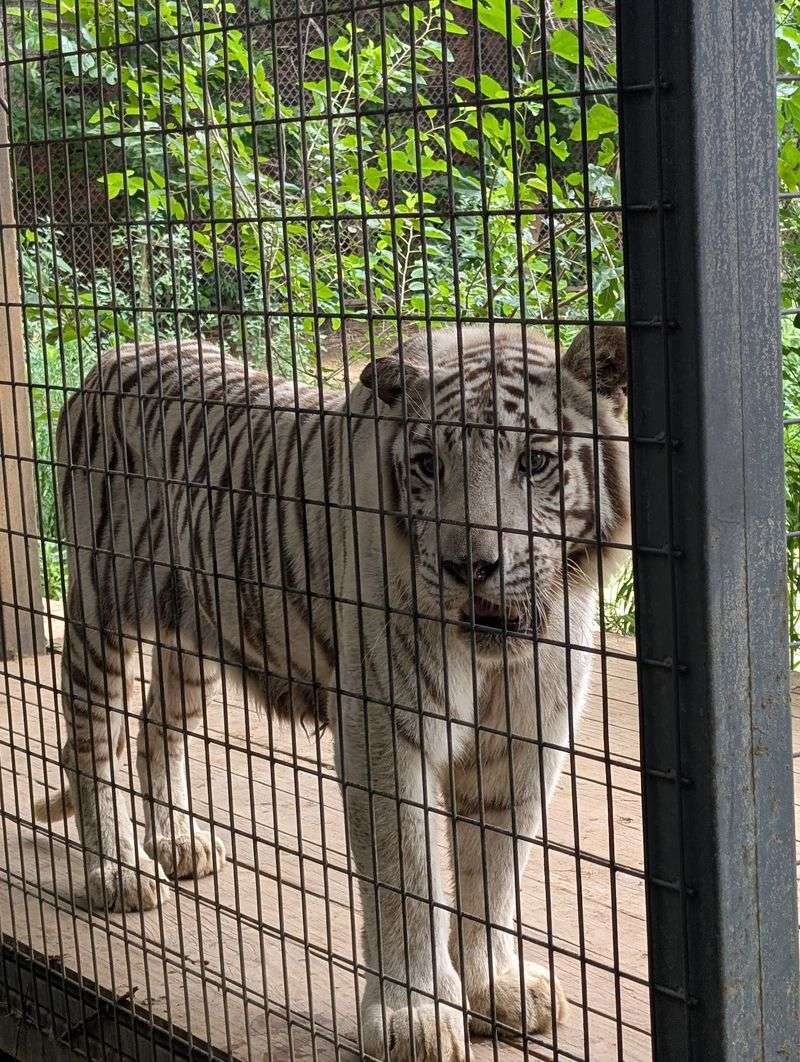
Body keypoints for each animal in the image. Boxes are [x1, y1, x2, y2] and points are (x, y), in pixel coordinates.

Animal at [37, 323, 630, 1061]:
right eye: (428, 465)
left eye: (536, 461)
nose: (470, 567)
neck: (499, 652)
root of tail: (110, 359)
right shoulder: (387, 732)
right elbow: (407, 879)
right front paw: (414, 1016)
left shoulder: (521, 740)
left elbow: (492, 872)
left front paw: (497, 987)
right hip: (102, 608)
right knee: (89, 739)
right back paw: (120, 872)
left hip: (195, 639)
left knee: (155, 730)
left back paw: (179, 844)